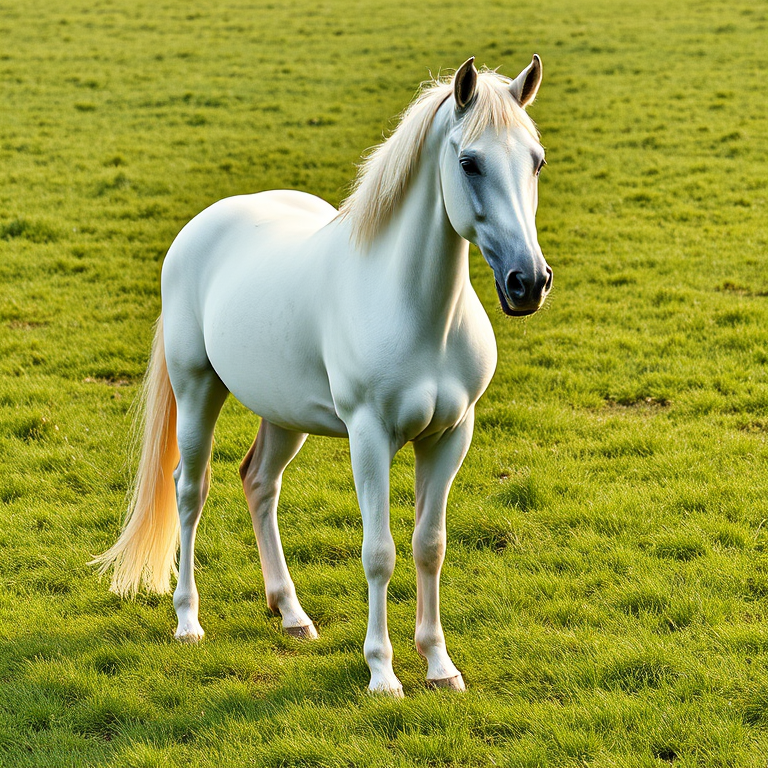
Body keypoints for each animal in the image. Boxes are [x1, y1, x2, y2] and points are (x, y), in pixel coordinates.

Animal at [93, 55, 552, 697]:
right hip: (196, 388)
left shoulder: (449, 437)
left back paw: (291, 614)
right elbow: (380, 552)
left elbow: (429, 546)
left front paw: (439, 665)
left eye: (536, 160)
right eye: (469, 162)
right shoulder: (370, 438)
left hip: (284, 414)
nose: (527, 282)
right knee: (190, 489)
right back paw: (188, 620)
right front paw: (383, 673)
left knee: (259, 483)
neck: (419, 313)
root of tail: (201, 227)